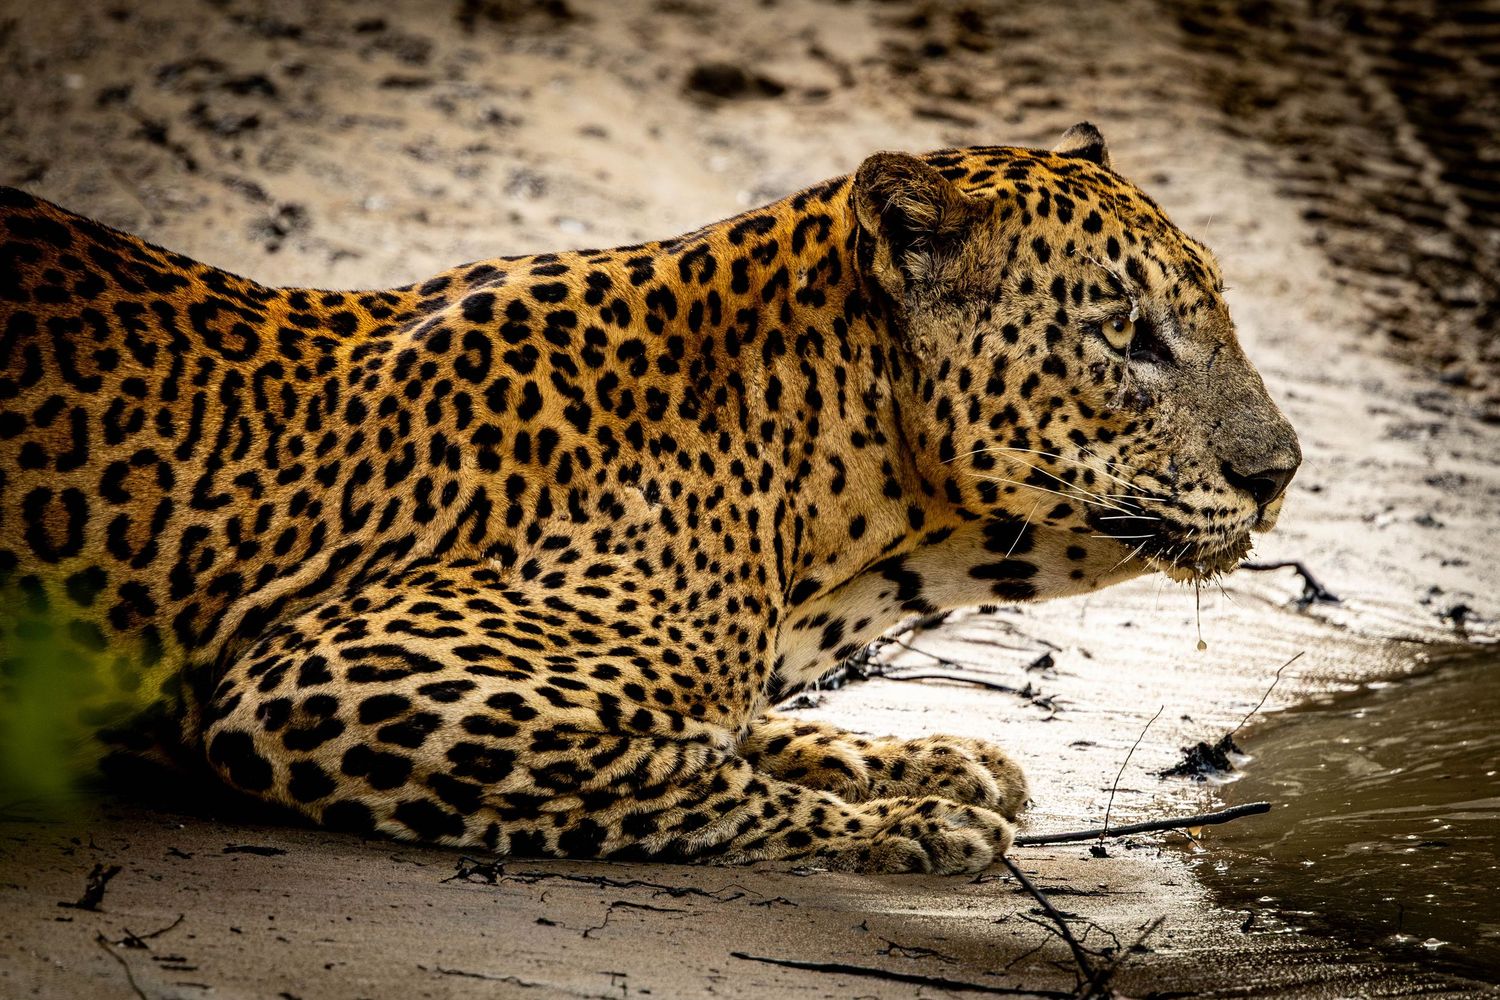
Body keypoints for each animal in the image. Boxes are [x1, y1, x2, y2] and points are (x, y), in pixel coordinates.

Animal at [0, 123, 1299, 874]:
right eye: (1129, 337)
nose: (1280, 471)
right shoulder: (314, 684)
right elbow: (692, 778)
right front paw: (916, 825)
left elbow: (739, 727)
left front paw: (930, 757)